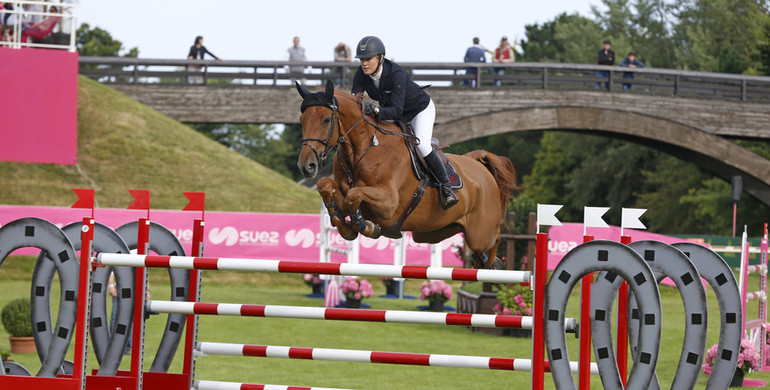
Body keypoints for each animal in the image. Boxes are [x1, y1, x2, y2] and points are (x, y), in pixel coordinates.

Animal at [294, 80, 516, 270]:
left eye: (325, 120)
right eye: (302, 119)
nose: (307, 166)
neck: (363, 148)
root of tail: (479, 166)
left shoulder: (388, 204)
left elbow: (353, 195)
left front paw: (365, 225)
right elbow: (325, 185)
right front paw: (345, 226)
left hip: (479, 233)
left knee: (495, 236)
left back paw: (493, 265)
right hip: (432, 233)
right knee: (478, 249)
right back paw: (484, 263)